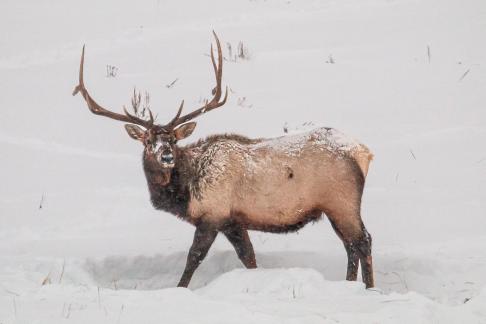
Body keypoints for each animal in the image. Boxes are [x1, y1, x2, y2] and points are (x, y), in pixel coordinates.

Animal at [72, 32, 376, 288]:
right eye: (148, 142)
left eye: (173, 140)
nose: (166, 155)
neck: (185, 192)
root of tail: (363, 152)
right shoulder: (234, 221)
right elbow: (249, 258)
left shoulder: (213, 214)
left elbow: (193, 258)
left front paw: (180, 288)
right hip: (334, 207)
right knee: (350, 246)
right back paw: (351, 284)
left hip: (342, 201)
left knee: (363, 241)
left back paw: (369, 288)